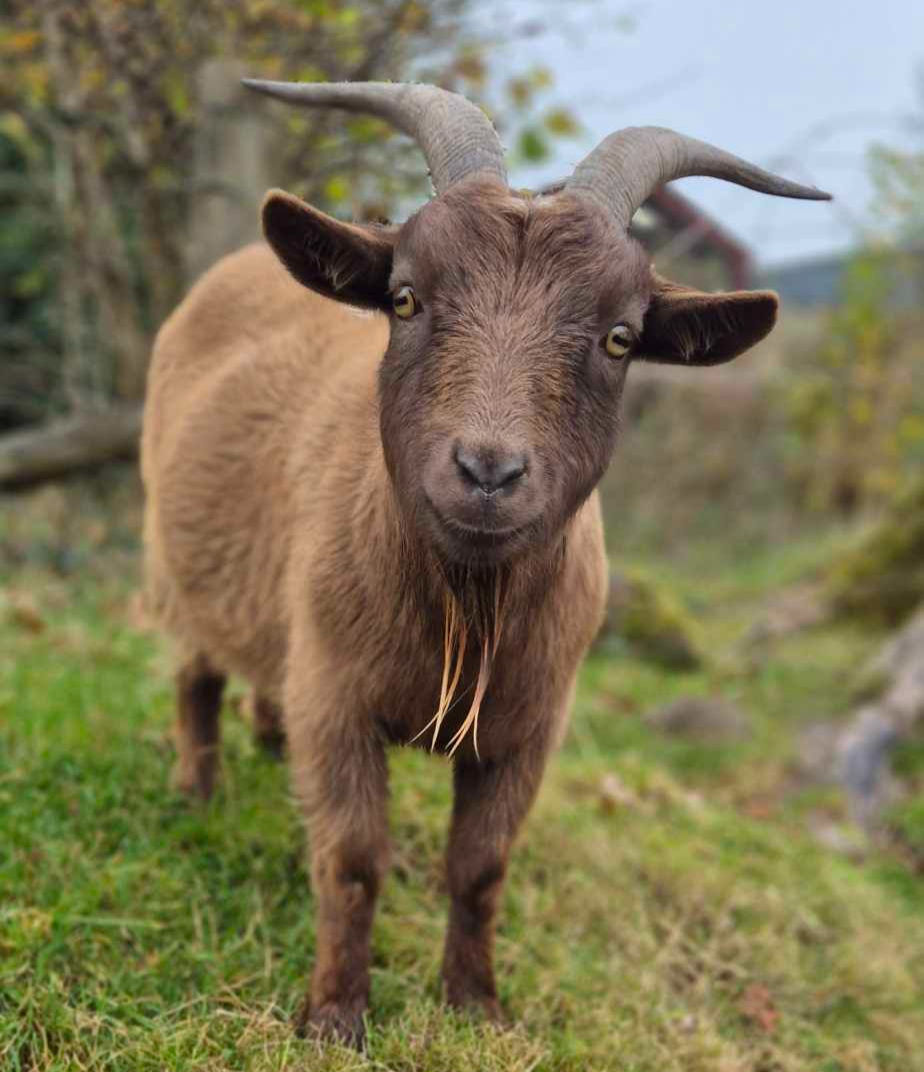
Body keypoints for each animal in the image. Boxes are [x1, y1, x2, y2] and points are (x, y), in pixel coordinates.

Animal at [141, 79, 830, 1045]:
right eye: (404, 299)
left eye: (621, 337)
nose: (487, 471)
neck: (462, 612)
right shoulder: (339, 696)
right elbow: (352, 859)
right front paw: (335, 1016)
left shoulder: (529, 729)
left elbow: (480, 867)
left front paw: (476, 1005)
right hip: (171, 563)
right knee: (193, 676)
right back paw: (196, 790)